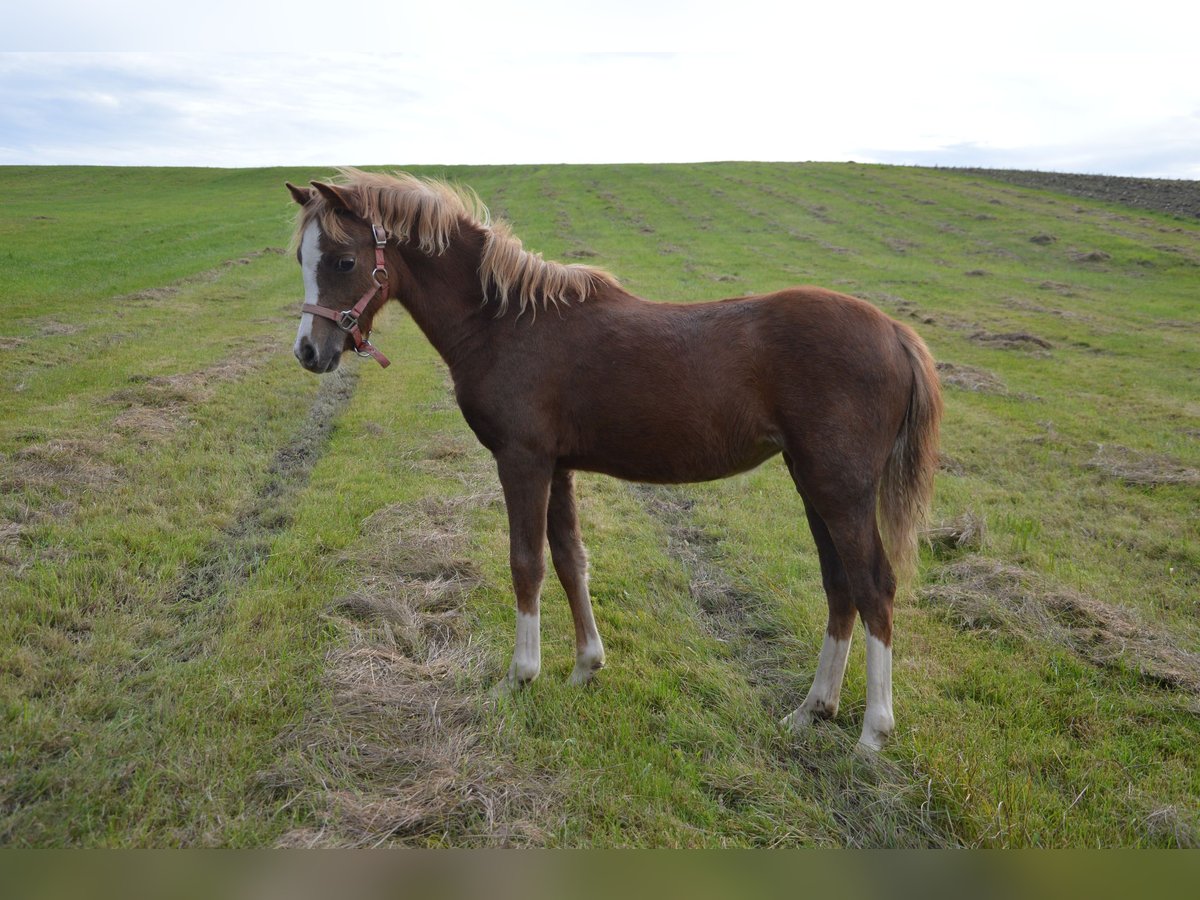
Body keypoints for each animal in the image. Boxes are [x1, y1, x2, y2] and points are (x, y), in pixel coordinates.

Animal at [285, 170, 940, 753]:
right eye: (300, 257)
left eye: (342, 261)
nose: (310, 353)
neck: (505, 323)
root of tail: (894, 332)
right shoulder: (557, 467)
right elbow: (570, 561)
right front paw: (584, 667)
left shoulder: (522, 462)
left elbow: (526, 564)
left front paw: (520, 677)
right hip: (813, 484)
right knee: (840, 586)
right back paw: (811, 711)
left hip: (840, 489)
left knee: (873, 587)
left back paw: (872, 734)